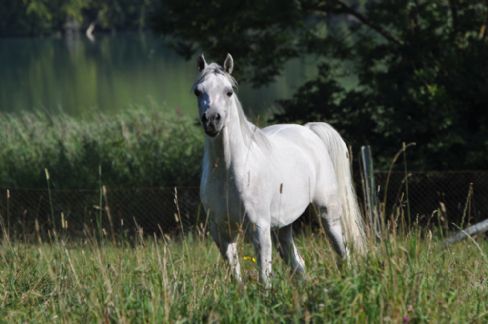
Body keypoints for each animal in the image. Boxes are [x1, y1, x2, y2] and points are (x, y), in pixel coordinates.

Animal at [193, 54, 364, 288]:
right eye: (198, 91)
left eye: (229, 91)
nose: (211, 120)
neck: (228, 174)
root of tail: (310, 131)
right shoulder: (220, 231)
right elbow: (234, 272)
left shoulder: (259, 228)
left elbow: (264, 275)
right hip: (284, 226)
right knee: (298, 264)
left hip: (328, 214)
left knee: (342, 253)